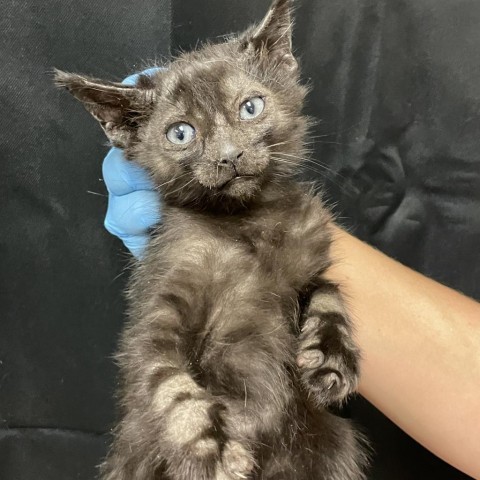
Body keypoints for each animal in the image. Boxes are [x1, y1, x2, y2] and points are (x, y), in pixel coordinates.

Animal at [57, 0, 372, 480]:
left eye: (251, 107)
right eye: (181, 133)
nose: (228, 156)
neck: (246, 224)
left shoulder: (309, 260)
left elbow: (329, 290)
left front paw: (330, 355)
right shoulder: (156, 308)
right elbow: (167, 381)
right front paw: (212, 447)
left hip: (334, 444)